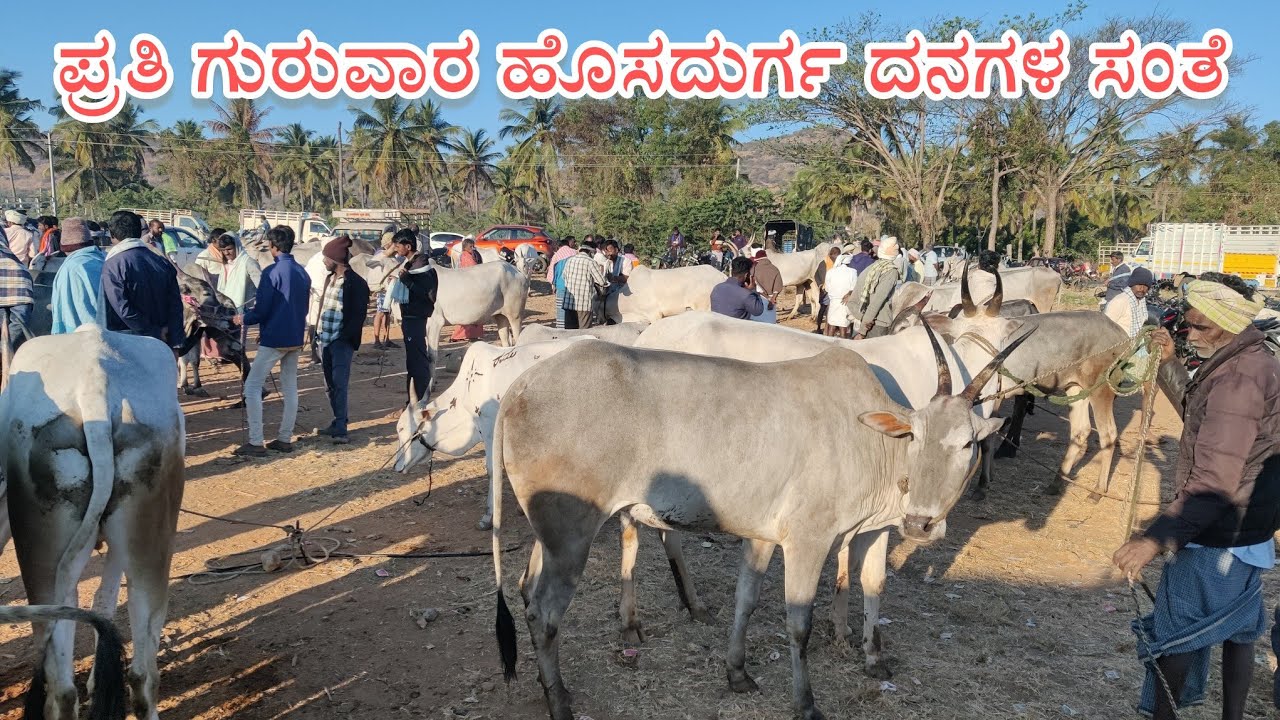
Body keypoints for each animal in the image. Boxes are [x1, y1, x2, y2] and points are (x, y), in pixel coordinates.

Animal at [489, 325, 1028, 720]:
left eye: (968, 442)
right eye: (915, 436)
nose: (920, 523)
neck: (871, 440)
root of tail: (518, 387)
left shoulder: (772, 536)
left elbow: (754, 601)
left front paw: (740, 673)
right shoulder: (809, 539)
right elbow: (798, 623)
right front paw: (806, 703)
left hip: (550, 534)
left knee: (525, 587)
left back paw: (551, 686)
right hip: (572, 535)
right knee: (543, 613)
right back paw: (560, 702)